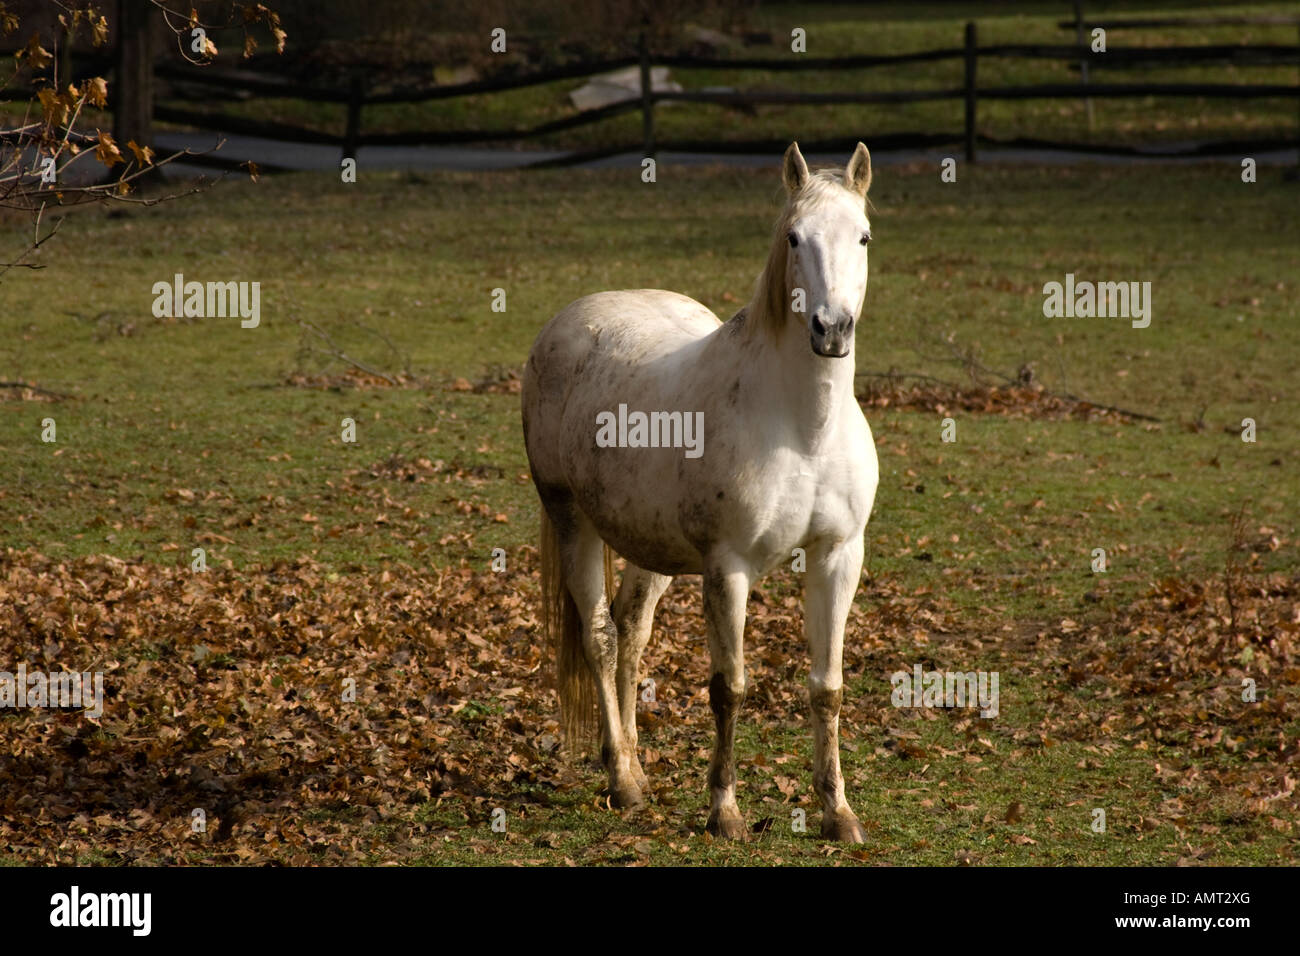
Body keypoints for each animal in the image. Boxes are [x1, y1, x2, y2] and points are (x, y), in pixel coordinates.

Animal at [522, 143, 878, 842]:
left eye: (863, 235)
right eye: (794, 238)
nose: (831, 330)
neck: (804, 428)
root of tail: (567, 322)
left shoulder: (838, 555)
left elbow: (827, 687)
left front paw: (838, 813)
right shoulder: (727, 568)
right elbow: (728, 687)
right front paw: (725, 811)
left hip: (648, 548)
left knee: (631, 634)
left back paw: (633, 763)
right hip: (572, 520)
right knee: (601, 638)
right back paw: (624, 780)